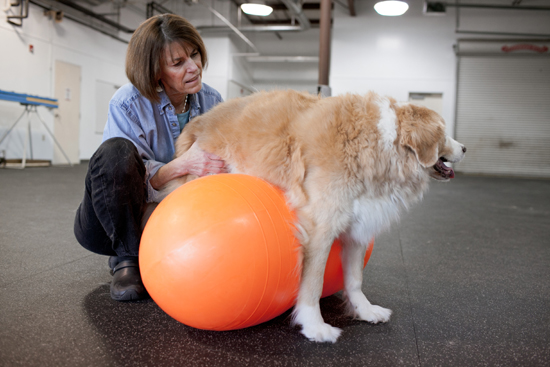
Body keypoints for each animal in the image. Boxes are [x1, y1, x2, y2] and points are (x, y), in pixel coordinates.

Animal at [160, 90, 466, 344]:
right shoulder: (319, 229)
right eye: (443, 132)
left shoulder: (357, 228)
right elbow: (313, 284)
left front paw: (365, 310)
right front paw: (314, 326)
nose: (464, 148)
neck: (380, 143)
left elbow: (355, 280)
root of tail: (197, 121)